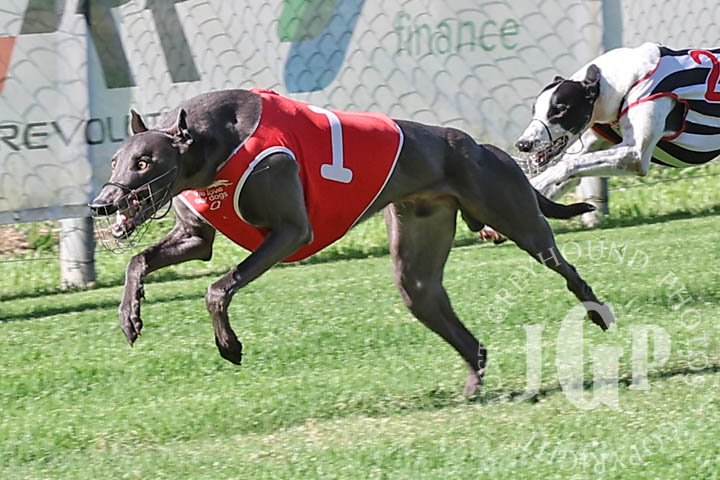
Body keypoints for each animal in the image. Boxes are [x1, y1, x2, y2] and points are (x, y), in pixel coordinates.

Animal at [89, 88, 613, 395]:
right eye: (115, 160)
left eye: (143, 162)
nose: (101, 205)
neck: (210, 146)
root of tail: (483, 146)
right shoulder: (195, 238)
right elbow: (139, 261)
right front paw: (129, 317)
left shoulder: (288, 232)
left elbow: (217, 288)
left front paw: (229, 345)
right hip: (417, 266)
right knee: (455, 326)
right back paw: (470, 387)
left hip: (517, 220)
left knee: (565, 268)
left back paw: (597, 310)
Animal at [515, 42, 720, 198]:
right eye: (534, 110)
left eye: (560, 110)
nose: (523, 144)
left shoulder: (634, 154)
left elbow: (565, 165)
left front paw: (537, 181)